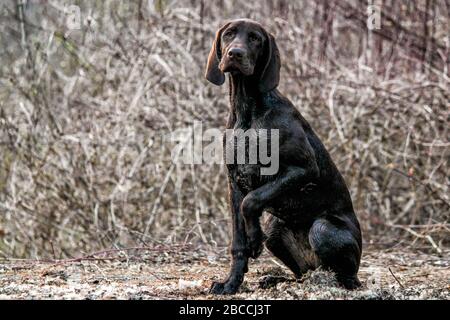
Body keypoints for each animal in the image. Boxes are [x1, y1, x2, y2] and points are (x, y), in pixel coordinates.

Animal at [204, 19, 362, 296]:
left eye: (255, 38)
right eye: (229, 34)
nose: (235, 53)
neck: (247, 110)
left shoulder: (303, 169)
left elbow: (252, 201)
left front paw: (254, 239)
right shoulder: (234, 181)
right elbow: (238, 243)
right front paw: (231, 283)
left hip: (323, 229)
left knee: (345, 277)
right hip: (276, 230)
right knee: (302, 273)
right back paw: (277, 280)